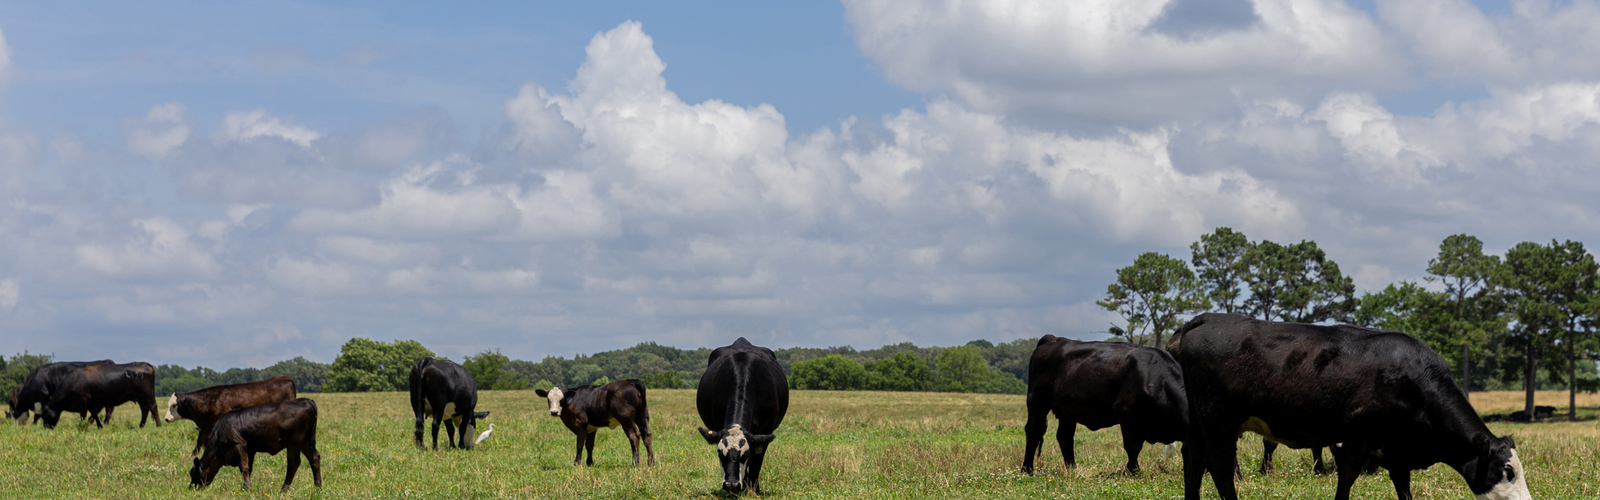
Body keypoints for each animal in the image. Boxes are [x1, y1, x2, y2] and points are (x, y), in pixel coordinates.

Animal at [165, 377, 297, 456]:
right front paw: (193, 455)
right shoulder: (206, 427)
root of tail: (284, 378)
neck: (209, 401)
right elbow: (200, 442)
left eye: (174, 405)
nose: (166, 418)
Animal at [189, 398, 322, 492]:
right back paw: (318, 487)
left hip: (294, 443)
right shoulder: (250, 449)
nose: (191, 487)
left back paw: (283, 490)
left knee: (293, 463)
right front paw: (246, 487)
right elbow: (249, 467)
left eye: (193, 473)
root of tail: (306, 400)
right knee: (314, 458)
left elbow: (244, 467)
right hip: (306, 442)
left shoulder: (239, 445)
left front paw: (247, 489)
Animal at [696, 337, 789, 495]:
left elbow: (756, 462)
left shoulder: (765, 431)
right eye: (720, 453)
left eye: (745, 455)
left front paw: (754, 490)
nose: (731, 485)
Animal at [1022, 335, 1188, 475]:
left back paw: (1072, 469)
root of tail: (1054, 339)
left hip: (1066, 410)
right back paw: (1027, 469)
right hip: (1037, 401)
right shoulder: (1127, 415)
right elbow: (1133, 446)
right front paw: (1132, 471)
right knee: (1033, 432)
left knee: (1064, 436)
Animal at [1172, 313, 1530, 500]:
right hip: (1218, 419)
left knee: (1193, 459)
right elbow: (1347, 476)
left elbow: (1403, 487)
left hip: (1199, 421)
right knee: (1219, 465)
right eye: (1507, 471)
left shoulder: (1396, 449)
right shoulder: (1359, 433)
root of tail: (1208, 318)